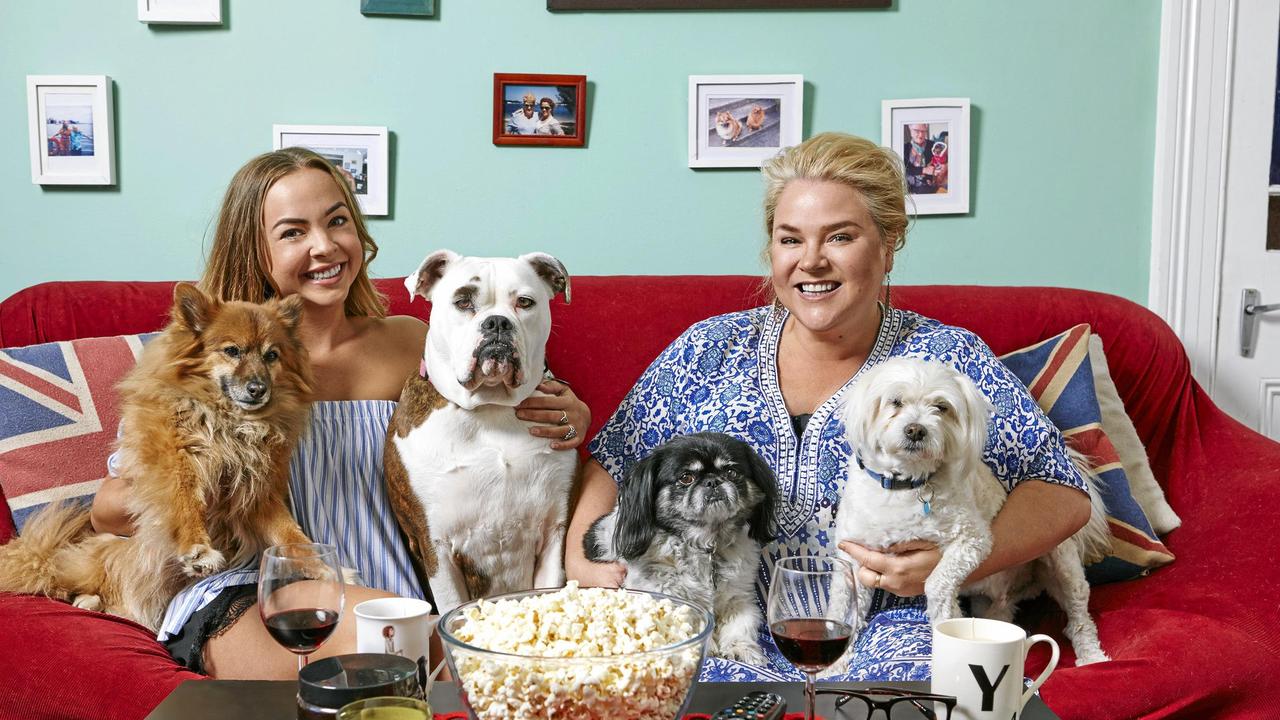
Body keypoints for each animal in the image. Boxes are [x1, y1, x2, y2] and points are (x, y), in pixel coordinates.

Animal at [0, 280, 317, 627]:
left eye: (272, 355)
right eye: (232, 351)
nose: (259, 389)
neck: (230, 421)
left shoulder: (256, 494)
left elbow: (289, 533)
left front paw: (320, 564)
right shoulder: (173, 463)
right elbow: (185, 505)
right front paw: (197, 548)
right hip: (105, 553)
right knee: (65, 578)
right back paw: (86, 598)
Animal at [583, 430, 778, 661]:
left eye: (732, 472)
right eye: (686, 478)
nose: (713, 481)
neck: (707, 546)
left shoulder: (739, 598)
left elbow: (740, 625)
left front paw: (740, 648)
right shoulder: (664, 594)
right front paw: (707, 647)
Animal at [829, 356, 1111, 666]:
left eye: (941, 407)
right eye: (895, 402)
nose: (916, 430)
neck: (902, 486)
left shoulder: (971, 541)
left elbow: (937, 584)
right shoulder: (852, 556)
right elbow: (842, 605)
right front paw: (834, 665)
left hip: (1061, 561)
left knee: (1079, 615)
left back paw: (1091, 656)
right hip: (993, 603)